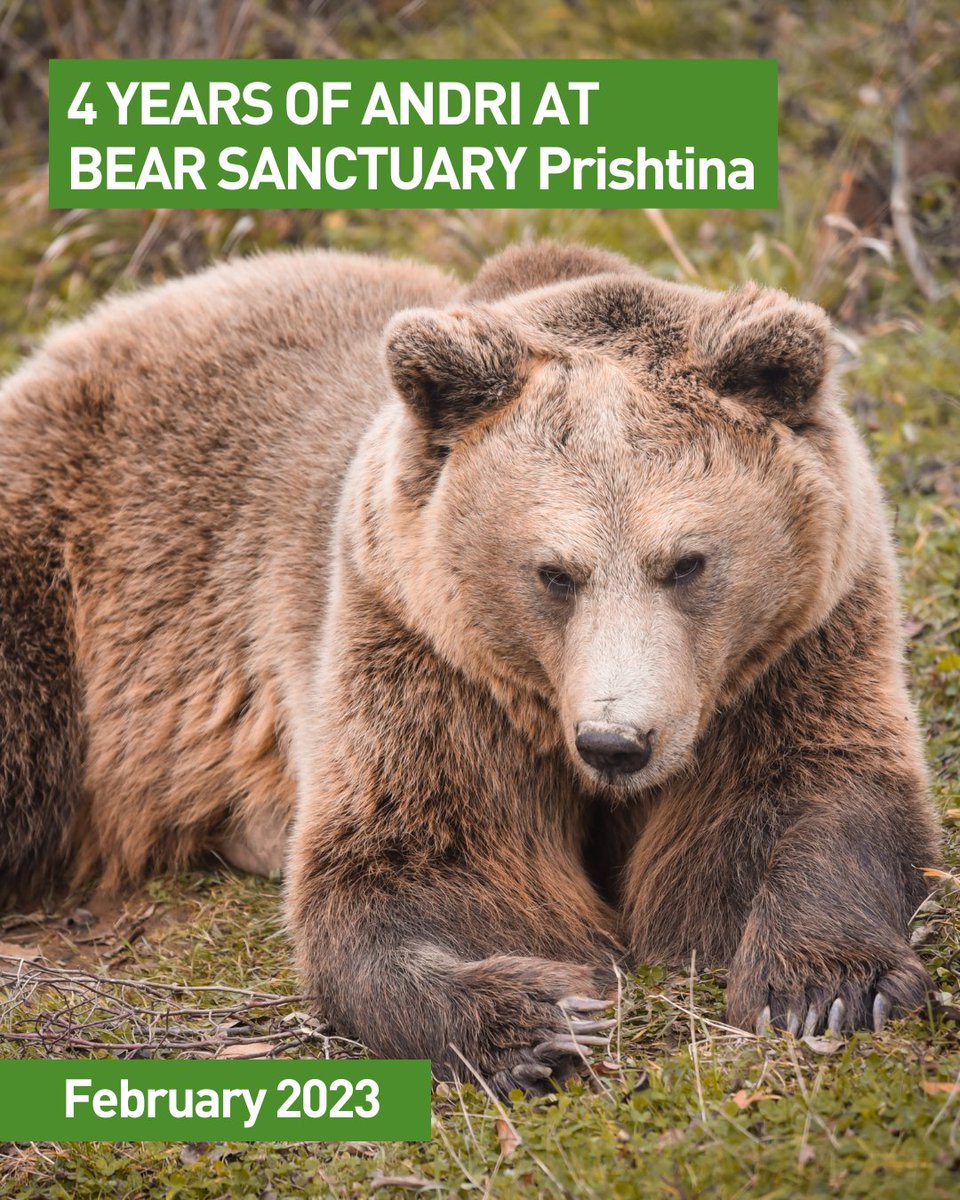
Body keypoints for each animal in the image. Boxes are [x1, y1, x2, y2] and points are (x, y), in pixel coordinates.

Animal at [0, 242, 940, 1095]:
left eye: (687, 562)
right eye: (554, 572)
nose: (615, 743)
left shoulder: (797, 646)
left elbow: (812, 795)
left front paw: (824, 984)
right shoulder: (426, 652)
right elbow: (420, 862)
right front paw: (534, 1017)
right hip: (73, 558)